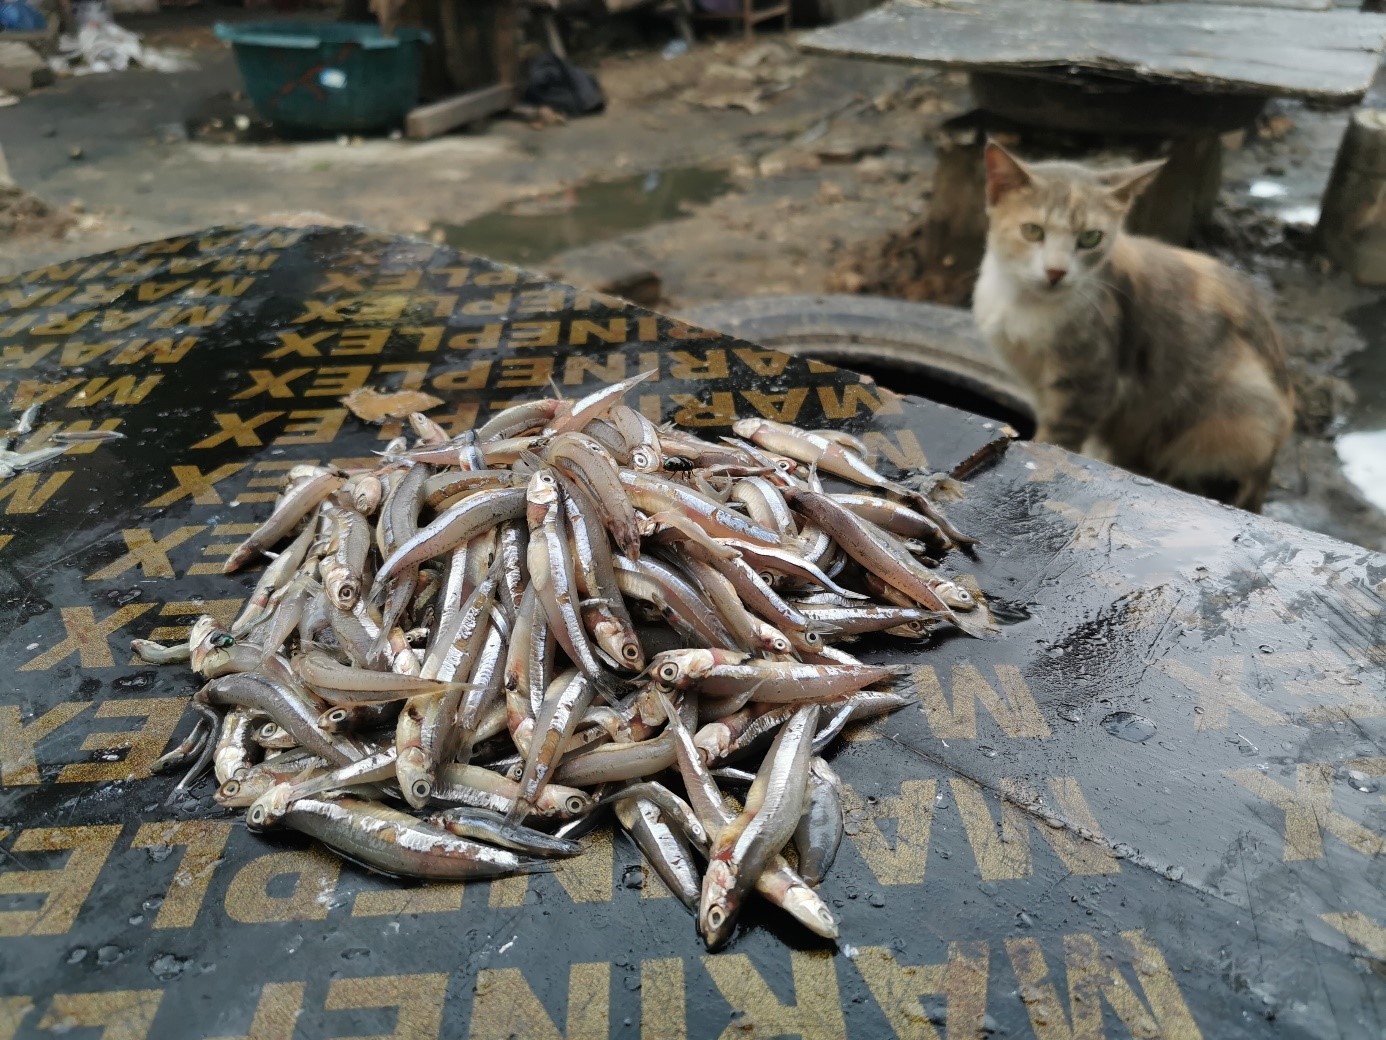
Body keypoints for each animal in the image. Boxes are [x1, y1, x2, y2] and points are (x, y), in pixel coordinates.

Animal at [970, 140, 1291, 515]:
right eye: (1032, 231)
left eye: (1090, 238)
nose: (1056, 272)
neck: (1025, 306)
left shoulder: (1089, 387)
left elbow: (1054, 442)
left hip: (1235, 415)